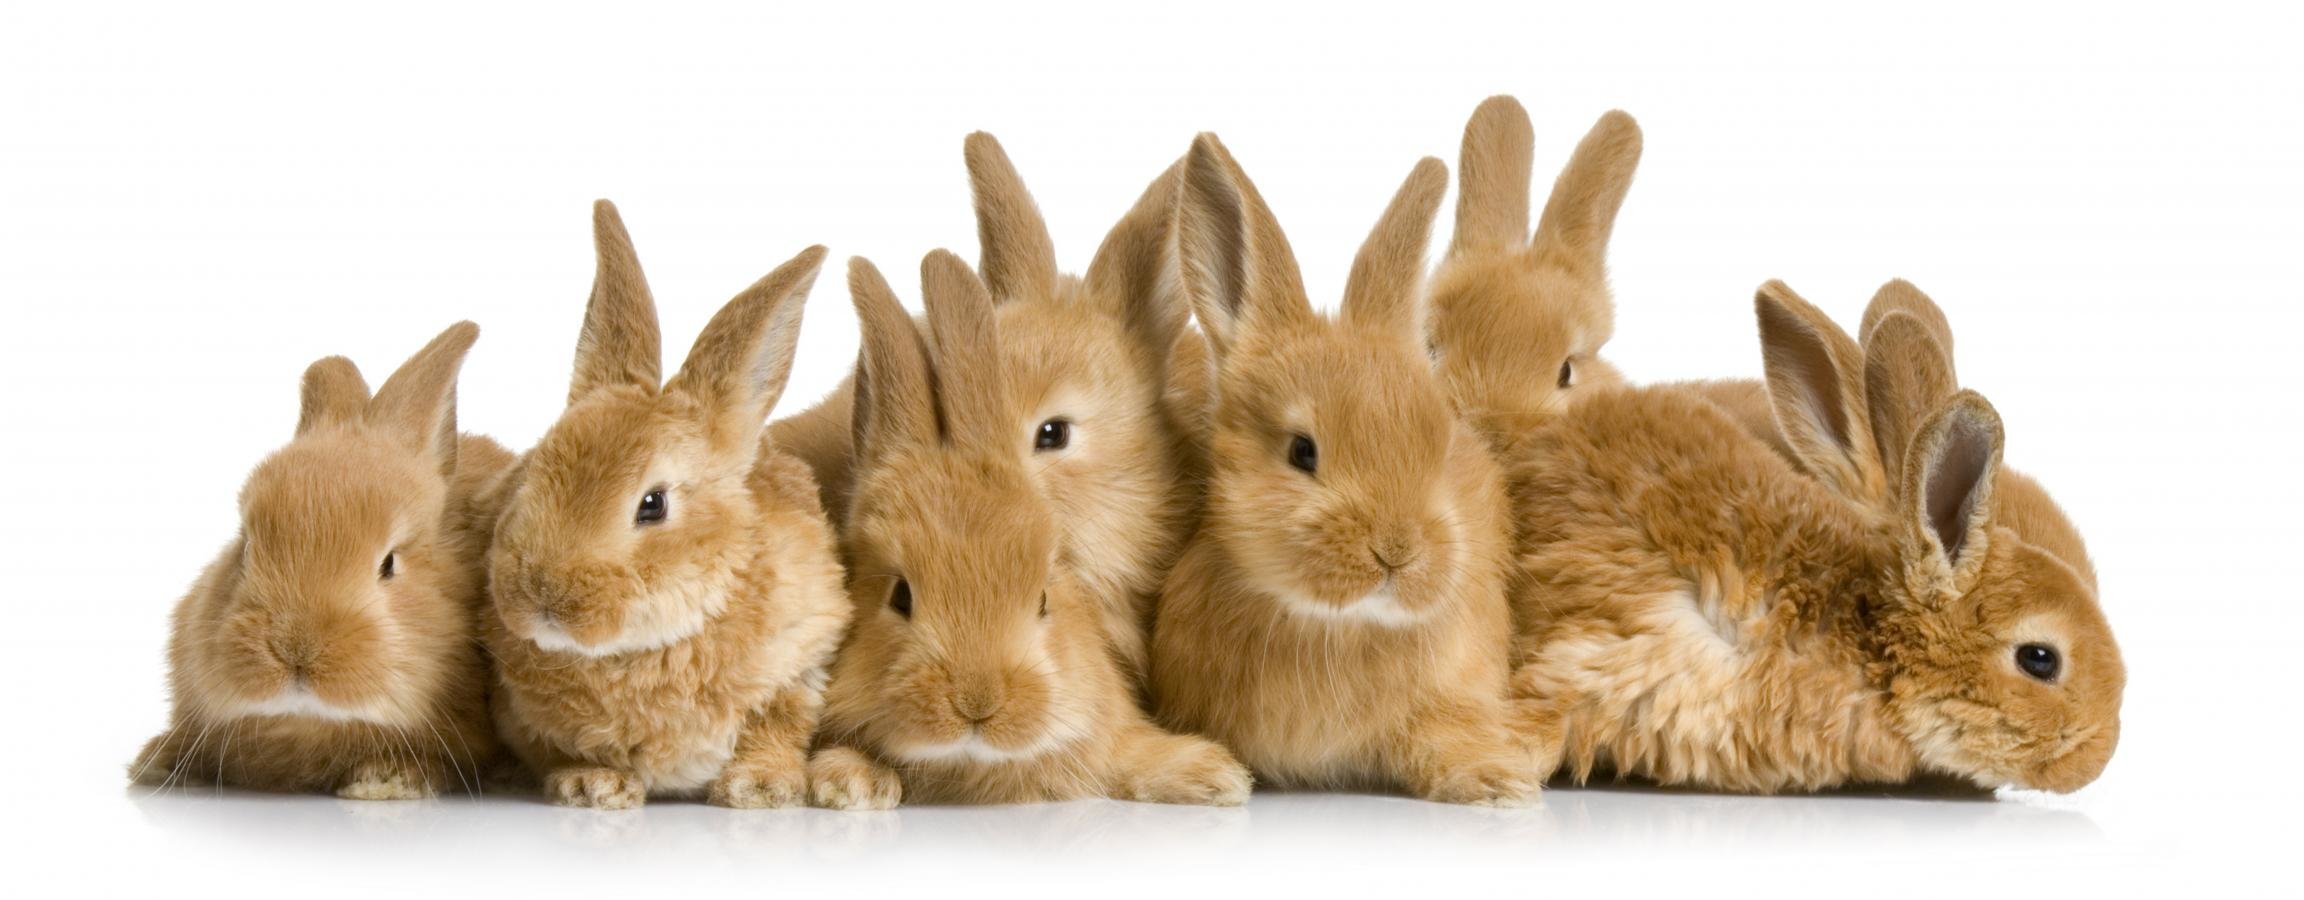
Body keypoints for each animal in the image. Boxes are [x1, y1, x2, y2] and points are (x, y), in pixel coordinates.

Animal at [481, 201, 849, 810]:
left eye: (652, 505)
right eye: (532, 473)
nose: (544, 597)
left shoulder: (802, 660)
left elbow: (777, 726)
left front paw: (761, 787)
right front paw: (592, 785)